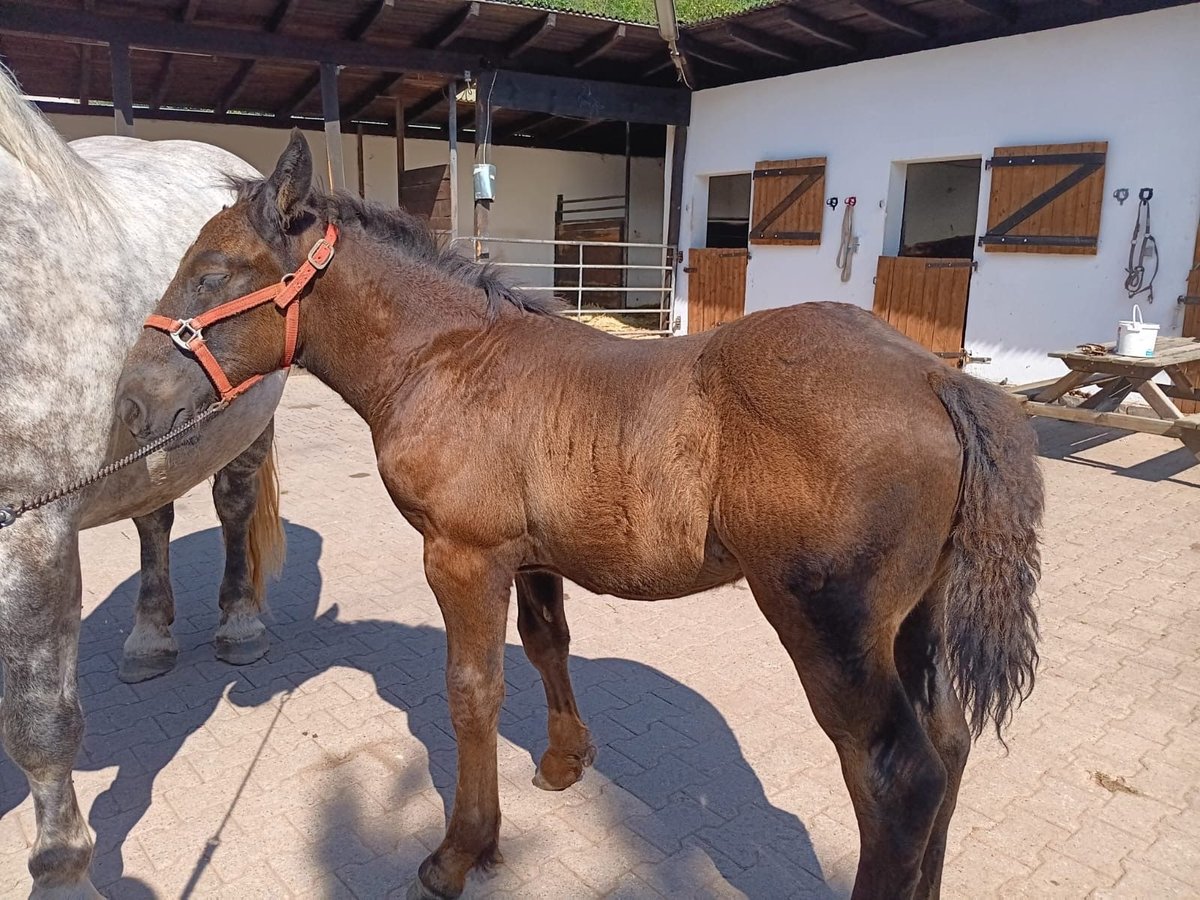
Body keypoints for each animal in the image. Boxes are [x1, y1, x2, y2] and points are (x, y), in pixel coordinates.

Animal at [117, 133, 1046, 900]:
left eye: (213, 270)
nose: (130, 405)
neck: (446, 357)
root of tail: (937, 376)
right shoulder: (529, 555)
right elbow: (546, 646)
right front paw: (565, 761)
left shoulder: (461, 555)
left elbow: (472, 690)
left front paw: (461, 851)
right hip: (916, 619)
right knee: (949, 746)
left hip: (831, 625)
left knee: (897, 778)